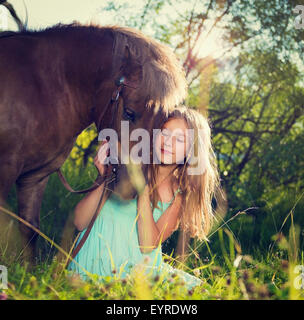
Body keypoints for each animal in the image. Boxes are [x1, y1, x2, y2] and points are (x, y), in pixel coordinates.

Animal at [0, 21, 188, 262]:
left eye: (162, 122)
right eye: (129, 112)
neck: (42, 88)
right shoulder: (6, 168)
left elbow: (30, 230)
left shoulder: (35, 177)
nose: (132, 187)